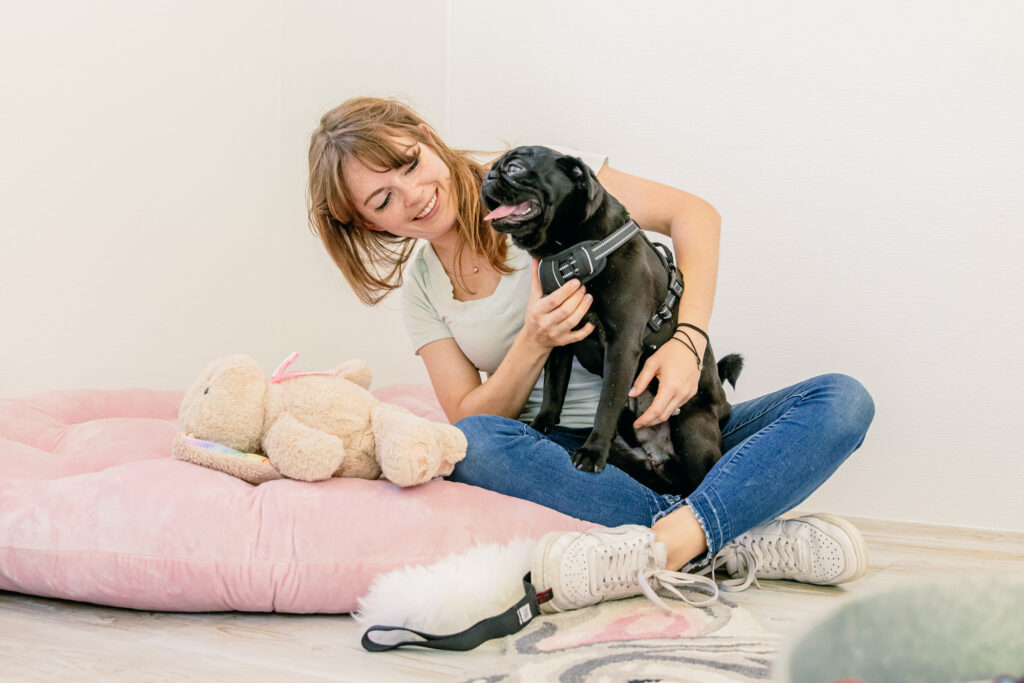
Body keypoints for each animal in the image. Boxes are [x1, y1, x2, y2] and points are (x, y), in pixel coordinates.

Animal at [481, 146, 742, 496]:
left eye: (515, 168)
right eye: (493, 168)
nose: (488, 176)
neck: (575, 250)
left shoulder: (621, 347)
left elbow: (606, 403)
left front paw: (592, 452)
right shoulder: (559, 339)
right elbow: (553, 390)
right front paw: (541, 424)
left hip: (690, 428)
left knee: (701, 481)